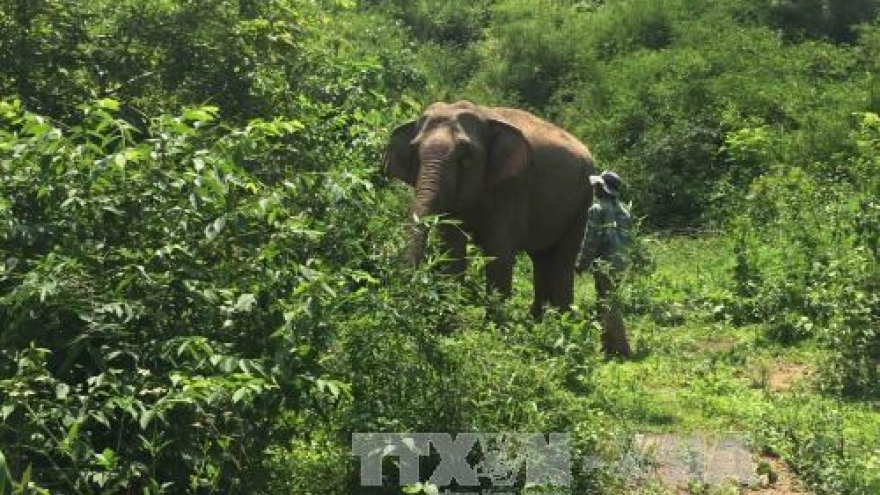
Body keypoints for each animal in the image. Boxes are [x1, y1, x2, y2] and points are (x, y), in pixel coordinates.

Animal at [384, 100, 594, 316]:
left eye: (465, 157)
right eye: (414, 150)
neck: (482, 113)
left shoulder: (510, 188)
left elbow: (498, 253)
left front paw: (496, 321)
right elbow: (452, 248)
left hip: (583, 202)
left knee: (563, 260)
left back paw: (562, 318)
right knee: (541, 258)